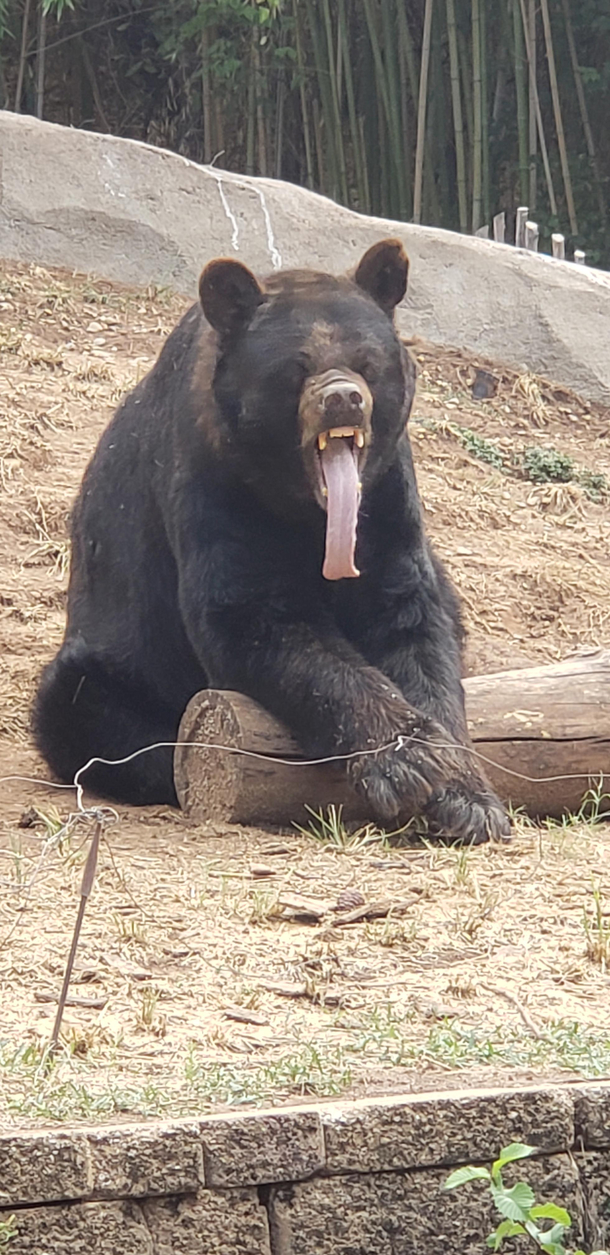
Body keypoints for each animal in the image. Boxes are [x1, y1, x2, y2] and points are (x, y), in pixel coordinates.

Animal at [32, 237, 509, 843]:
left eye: (367, 363)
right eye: (296, 368)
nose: (343, 399)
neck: (309, 511)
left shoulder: (387, 500)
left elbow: (412, 618)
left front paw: (467, 799)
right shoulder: (214, 481)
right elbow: (254, 618)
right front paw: (406, 763)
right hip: (120, 660)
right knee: (84, 709)